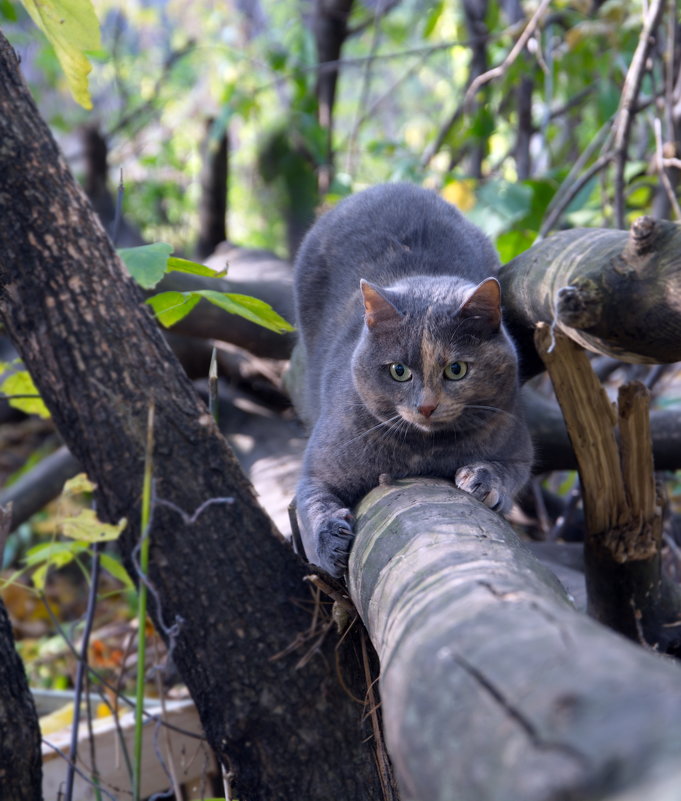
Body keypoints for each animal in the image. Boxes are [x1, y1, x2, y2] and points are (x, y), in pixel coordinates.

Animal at [292, 183, 532, 576]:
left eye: (456, 369)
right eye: (398, 371)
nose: (427, 406)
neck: (422, 450)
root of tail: (387, 187)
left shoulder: (515, 441)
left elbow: (511, 471)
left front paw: (482, 478)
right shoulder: (321, 462)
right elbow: (310, 499)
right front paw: (330, 542)